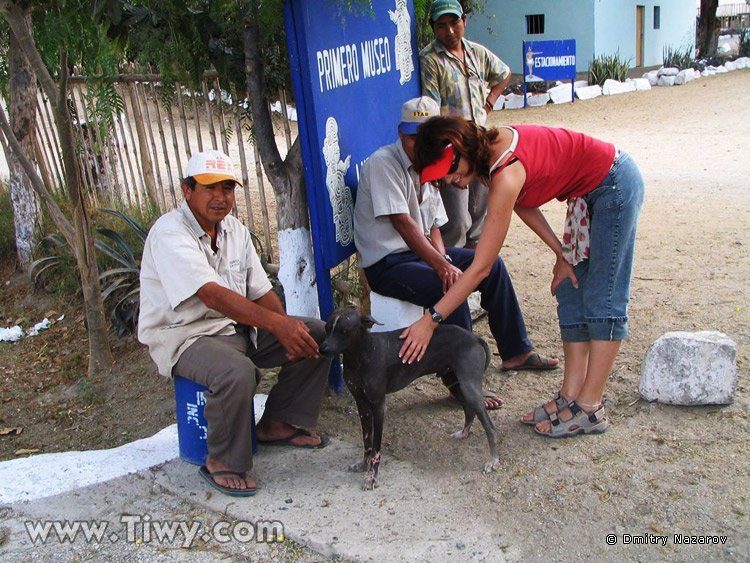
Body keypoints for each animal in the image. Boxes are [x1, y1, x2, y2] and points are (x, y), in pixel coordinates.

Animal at [320, 308, 502, 490]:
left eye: (344, 331)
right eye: (327, 328)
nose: (322, 349)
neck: (362, 354)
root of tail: (474, 337)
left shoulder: (378, 407)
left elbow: (376, 448)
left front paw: (372, 476)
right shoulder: (362, 405)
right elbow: (367, 441)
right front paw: (364, 464)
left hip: (469, 388)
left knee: (490, 426)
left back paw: (493, 460)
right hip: (455, 384)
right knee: (469, 410)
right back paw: (464, 433)